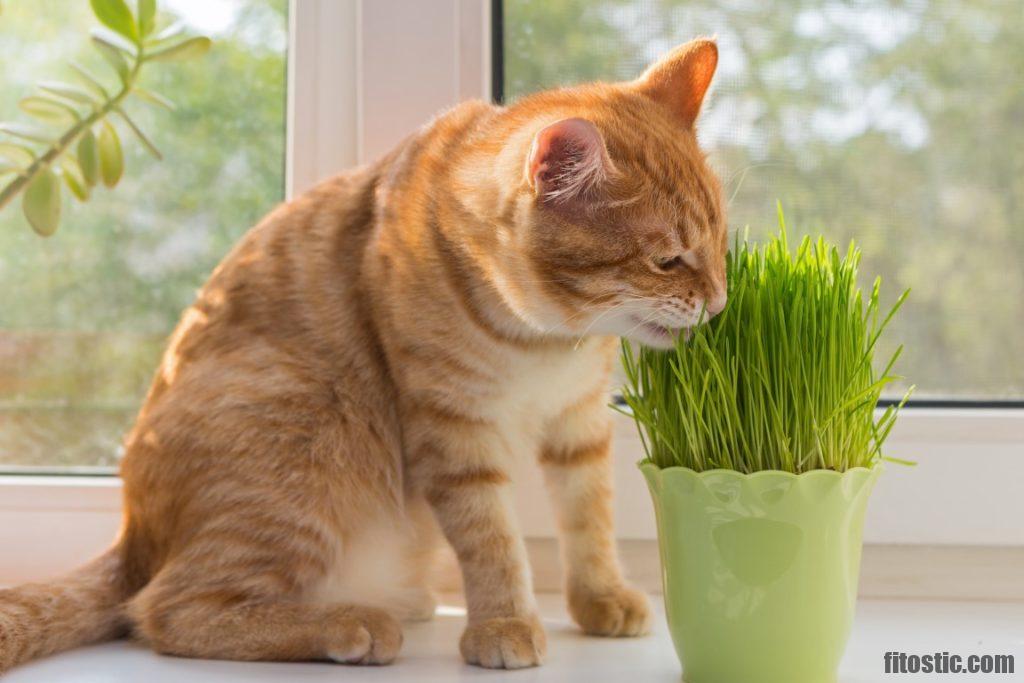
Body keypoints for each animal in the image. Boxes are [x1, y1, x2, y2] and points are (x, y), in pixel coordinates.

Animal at [0, 38, 724, 671]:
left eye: (719, 241)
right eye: (667, 261)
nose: (718, 302)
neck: (545, 341)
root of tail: (134, 534)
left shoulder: (579, 424)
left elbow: (589, 518)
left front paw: (600, 598)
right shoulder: (454, 433)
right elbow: (492, 538)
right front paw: (504, 622)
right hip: (307, 429)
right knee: (169, 609)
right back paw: (350, 623)